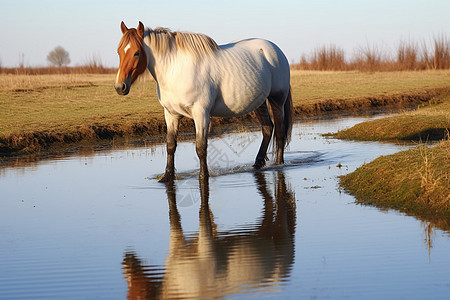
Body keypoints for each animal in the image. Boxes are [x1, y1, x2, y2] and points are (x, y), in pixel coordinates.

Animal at [114, 21, 294, 180]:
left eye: (136, 53)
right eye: (119, 52)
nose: (119, 86)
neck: (175, 70)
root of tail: (275, 51)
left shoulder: (201, 114)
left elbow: (201, 148)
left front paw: (203, 176)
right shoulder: (171, 115)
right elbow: (170, 145)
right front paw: (167, 177)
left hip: (276, 100)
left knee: (279, 131)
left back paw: (279, 164)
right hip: (259, 103)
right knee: (267, 129)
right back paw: (257, 164)